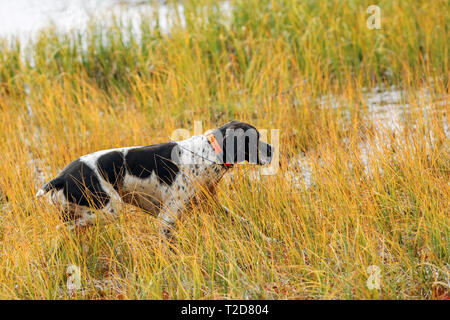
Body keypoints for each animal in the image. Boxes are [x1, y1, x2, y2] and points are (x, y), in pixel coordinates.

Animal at [36, 120, 274, 240]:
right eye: (255, 138)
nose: (272, 150)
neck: (207, 153)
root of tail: (61, 177)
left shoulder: (211, 206)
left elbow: (246, 223)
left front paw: (267, 239)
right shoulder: (166, 219)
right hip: (110, 209)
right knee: (68, 227)